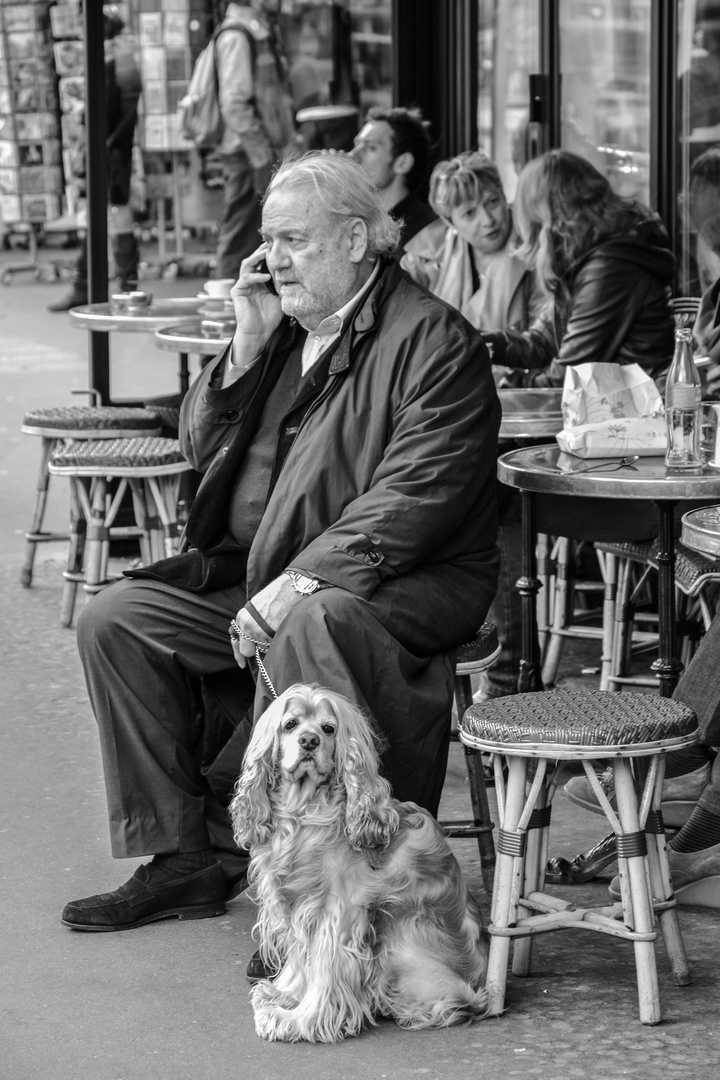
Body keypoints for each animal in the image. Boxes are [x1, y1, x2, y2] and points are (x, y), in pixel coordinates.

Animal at [229, 682, 490, 1045]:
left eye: (328, 729)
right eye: (290, 724)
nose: (309, 741)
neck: (304, 812)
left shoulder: (339, 910)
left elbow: (325, 969)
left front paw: (298, 1020)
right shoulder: (296, 902)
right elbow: (300, 956)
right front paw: (285, 995)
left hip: (399, 936)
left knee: (449, 1002)